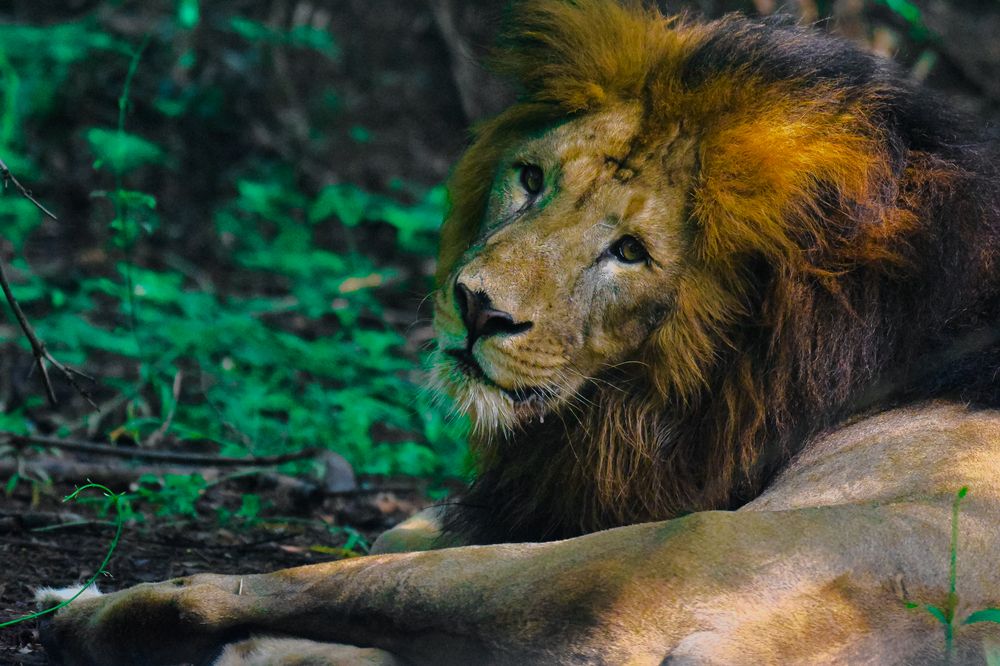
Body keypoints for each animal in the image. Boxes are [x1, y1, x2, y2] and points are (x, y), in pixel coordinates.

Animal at [38, 1, 1000, 664]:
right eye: (532, 179)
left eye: (629, 252)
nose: (477, 307)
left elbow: (394, 535)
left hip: (649, 562)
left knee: (266, 592)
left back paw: (88, 612)